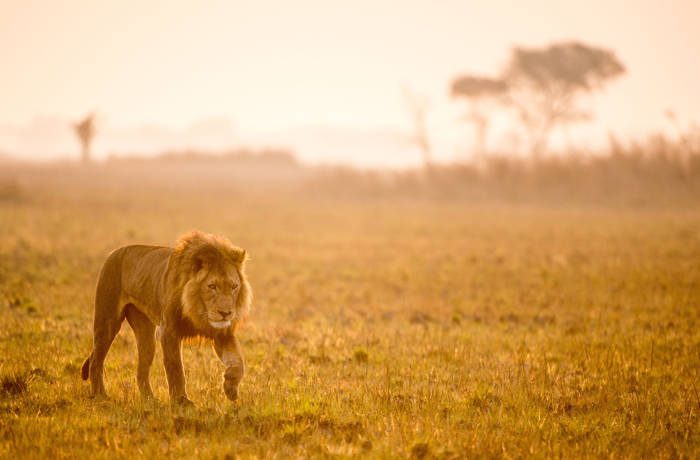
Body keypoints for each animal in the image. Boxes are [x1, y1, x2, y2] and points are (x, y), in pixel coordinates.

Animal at [81, 232, 253, 404]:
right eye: (212, 286)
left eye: (234, 286)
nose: (226, 313)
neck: (197, 309)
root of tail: (114, 252)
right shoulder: (169, 331)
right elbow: (175, 367)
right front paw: (181, 401)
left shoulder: (223, 333)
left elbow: (238, 361)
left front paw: (230, 387)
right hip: (107, 321)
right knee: (96, 360)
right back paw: (100, 395)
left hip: (146, 334)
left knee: (141, 370)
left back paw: (150, 399)